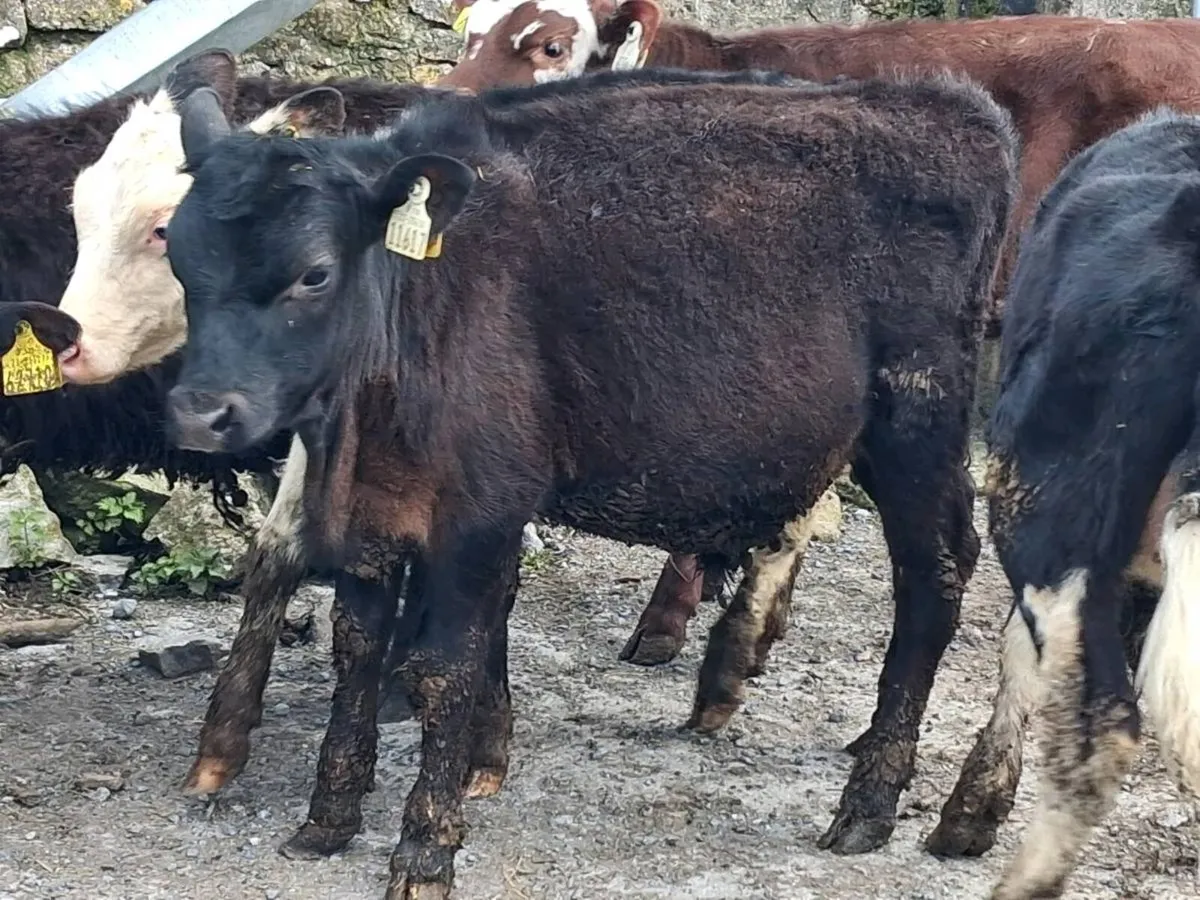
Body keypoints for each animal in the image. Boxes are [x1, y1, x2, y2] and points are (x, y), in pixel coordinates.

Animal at [161, 67, 1015, 894]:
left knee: (935, 575)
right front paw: (330, 817)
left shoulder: (483, 511)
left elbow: (445, 671)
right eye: (177, 258)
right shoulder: (377, 510)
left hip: (917, 420)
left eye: (314, 274)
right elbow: (358, 647)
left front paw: (424, 851)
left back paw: (876, 800)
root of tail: (949, 102)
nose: (201, 414)